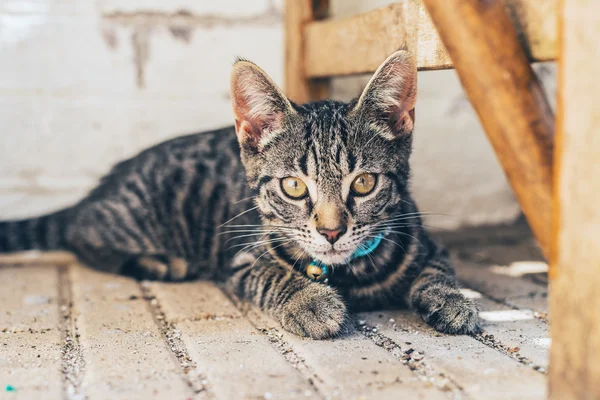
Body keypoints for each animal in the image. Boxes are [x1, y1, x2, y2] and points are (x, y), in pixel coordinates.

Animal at [0, 50, 478, 338]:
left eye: (363, 183)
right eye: (293, 186)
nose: (331, 232)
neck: (347, 274)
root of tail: (106, 182)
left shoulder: (426, 239)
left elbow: (439, 270)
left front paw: (453, 300)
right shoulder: (241, 258)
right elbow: (275, 275)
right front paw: (311, 301)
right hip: (133, 216)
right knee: (81, 234)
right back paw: (159, 260)